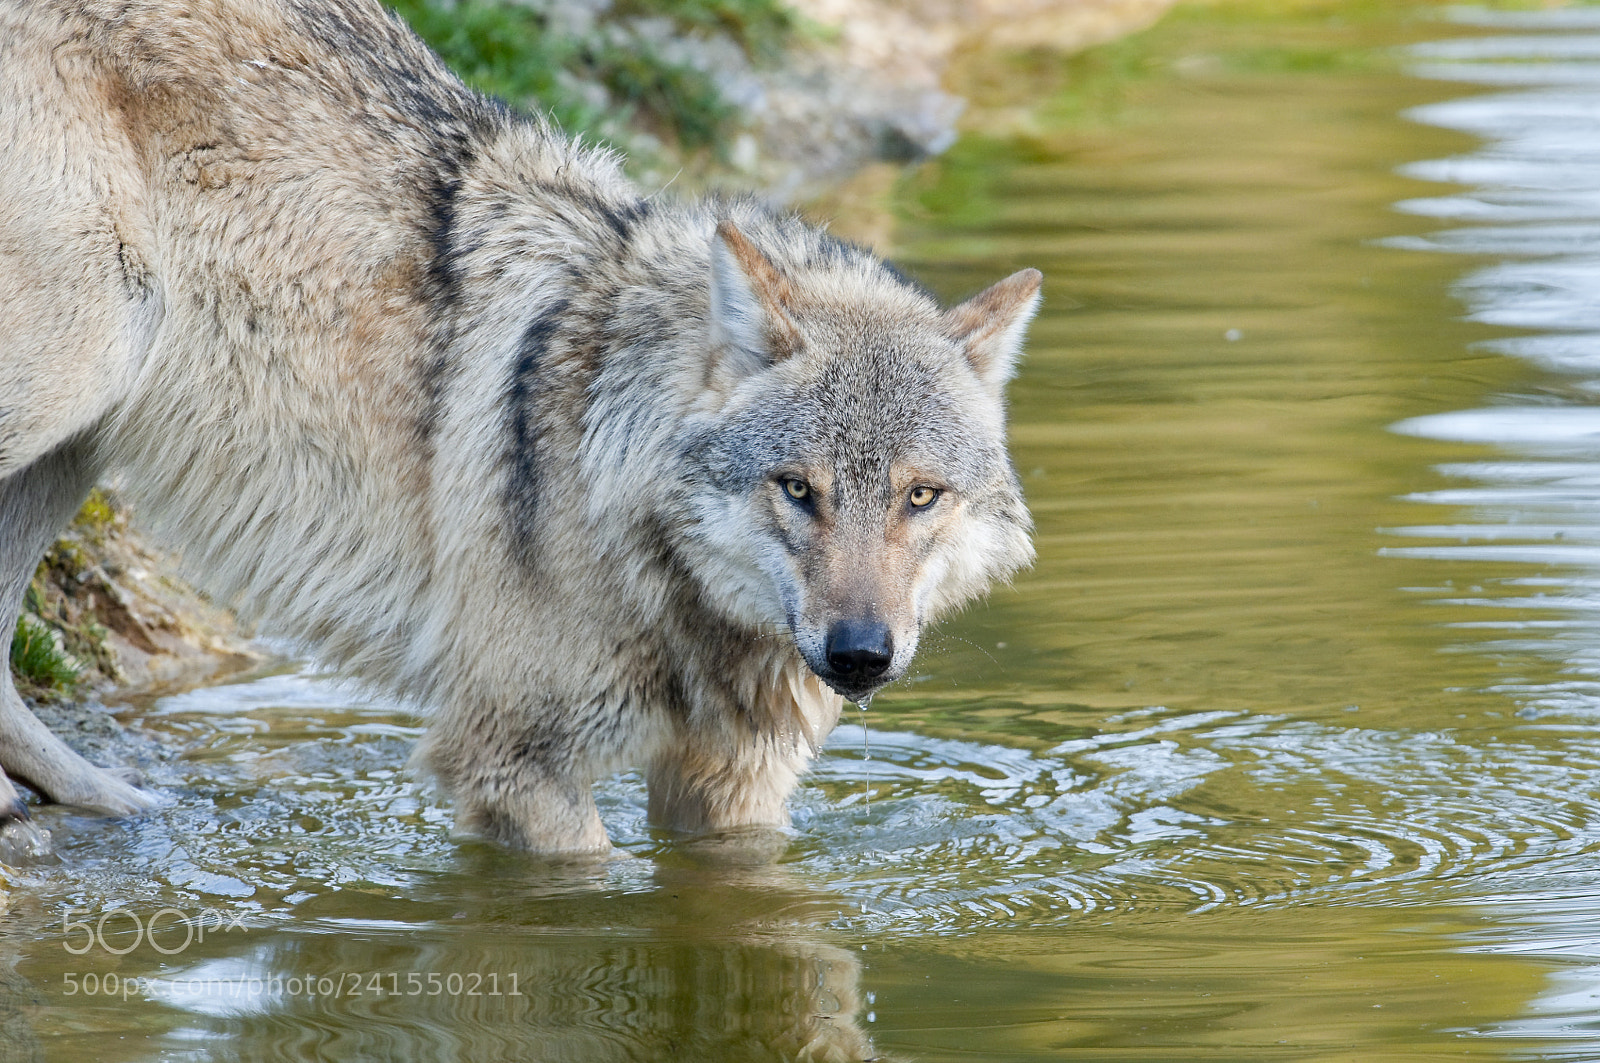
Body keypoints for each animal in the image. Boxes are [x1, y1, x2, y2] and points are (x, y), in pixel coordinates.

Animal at [0, 0, 1039, 853]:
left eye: (920, 496)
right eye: (798, 488)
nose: (860, 653)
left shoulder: (729, 790)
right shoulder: (513, 763)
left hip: (76, 440)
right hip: (81, 370)